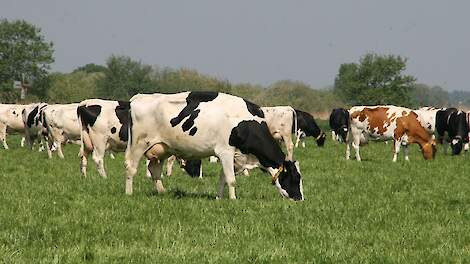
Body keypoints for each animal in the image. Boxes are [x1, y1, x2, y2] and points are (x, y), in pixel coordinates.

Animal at [124, 92, 304, 201]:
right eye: (295, 178)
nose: (300, 199)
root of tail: (138, 98)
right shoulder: (225, 151)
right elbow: (231, 180)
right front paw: (233, 200)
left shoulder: (234, 156)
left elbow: (223, 178)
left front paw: (219, 198)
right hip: (139, 144)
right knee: (130, 167)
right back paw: (129, 193)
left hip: (161, 149)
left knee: (154, 170)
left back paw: (162, 193)